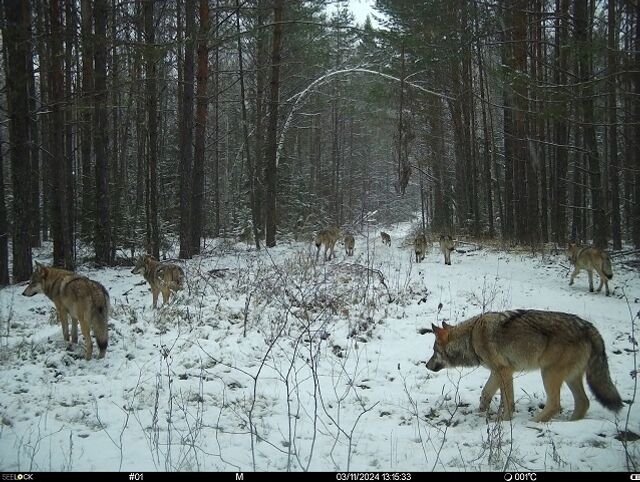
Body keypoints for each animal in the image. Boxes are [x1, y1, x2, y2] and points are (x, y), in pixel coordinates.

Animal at [428, 310, 624, 420]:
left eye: (434, 350)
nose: (427, 366)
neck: (472, 336)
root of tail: (589, 327)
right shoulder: (497, 372)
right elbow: (485, 393)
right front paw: (481, 412)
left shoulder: (505, 371)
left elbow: (508, 401)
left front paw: (505, 420)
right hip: (570, 378)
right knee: (583, 402)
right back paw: (570, 424)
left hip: (548, 373)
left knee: (555, 404)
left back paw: (533, 423)